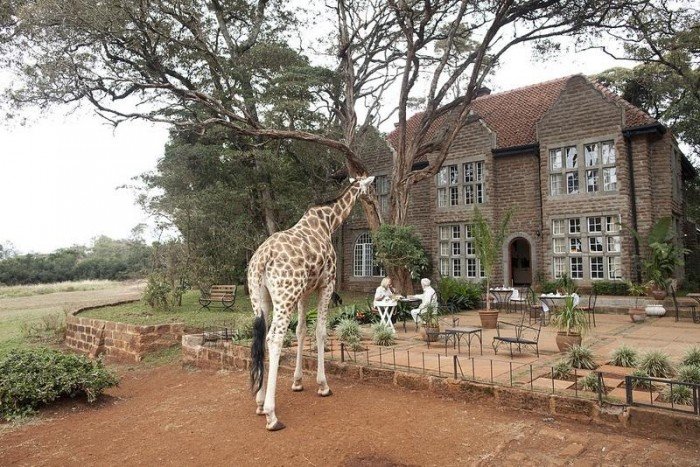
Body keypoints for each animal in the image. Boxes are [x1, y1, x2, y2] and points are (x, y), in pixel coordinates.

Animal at [247, 175, 374, 432]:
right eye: (371, 188)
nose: (373, 202)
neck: (328, 222)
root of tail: (261, 259)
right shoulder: (327, 285)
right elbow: (321, 331)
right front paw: (323, 385)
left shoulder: (304, 292)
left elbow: (301, 330)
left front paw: (297, 382)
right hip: (285, 295)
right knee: (274, 338)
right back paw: (271, 415)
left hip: (261, 299)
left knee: (261, 338)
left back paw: (259, 403)